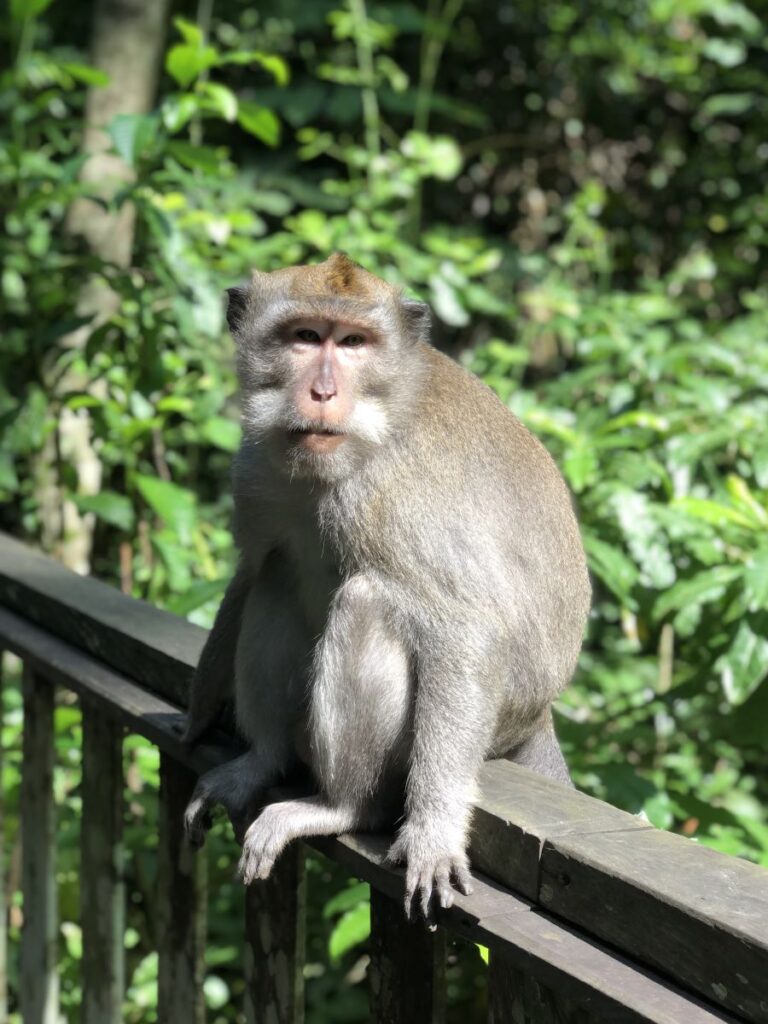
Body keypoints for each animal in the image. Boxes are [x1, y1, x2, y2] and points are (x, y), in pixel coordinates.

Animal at [183, 249, 593, 921]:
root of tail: (538, 714)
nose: (323, 392)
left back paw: (340, 806)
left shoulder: (400, 491)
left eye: (353, 343)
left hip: (497, 718)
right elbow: (251, 567)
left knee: (367, 601)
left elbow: (465, 628)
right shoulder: (256, 467)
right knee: (277, 575)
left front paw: (433, 830)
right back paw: (262, 762)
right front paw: (197, 709)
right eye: (305, 336)